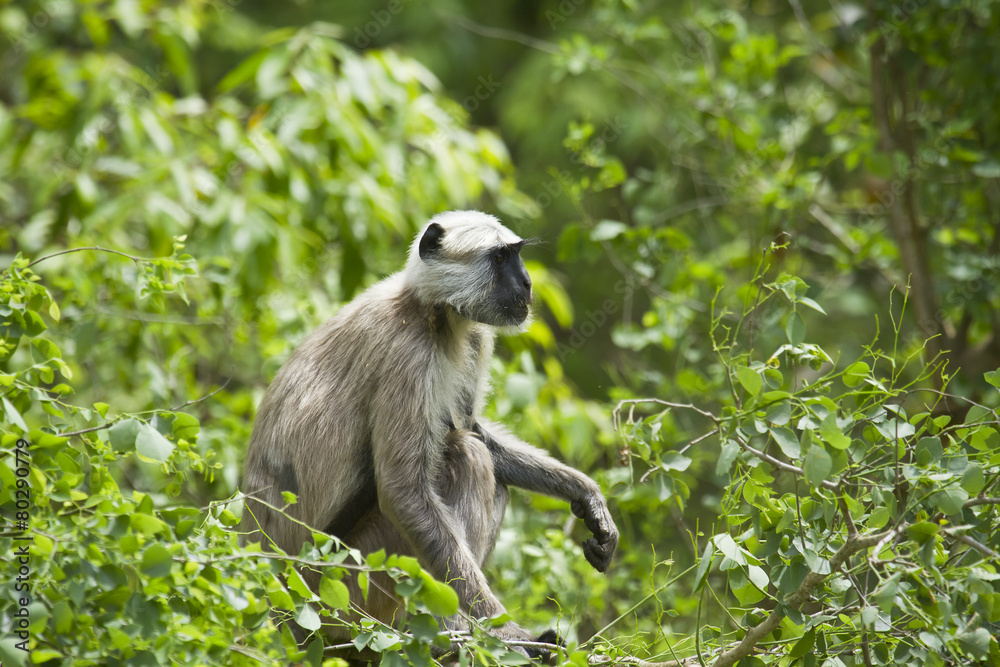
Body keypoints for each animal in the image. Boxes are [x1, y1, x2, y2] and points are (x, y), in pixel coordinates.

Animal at [242, 210, 616, 656]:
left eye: (517, 255)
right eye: (501, 257)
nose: (527, 283)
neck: (429, 310)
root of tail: (285, 609)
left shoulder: (473, 335)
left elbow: (473, 428)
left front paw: (586, 495)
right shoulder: (411, 352)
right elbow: (404, 491)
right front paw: (511, 634)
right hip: (349, 585)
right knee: (466, 456)